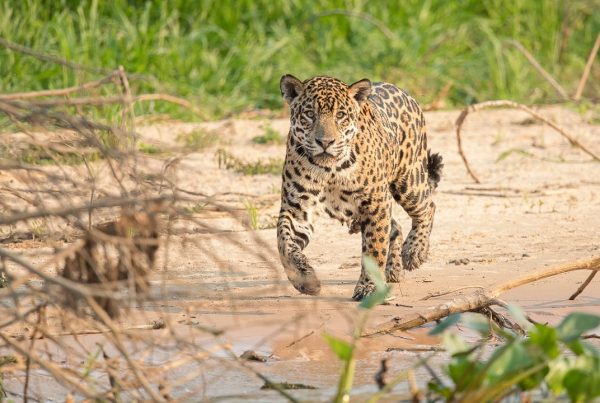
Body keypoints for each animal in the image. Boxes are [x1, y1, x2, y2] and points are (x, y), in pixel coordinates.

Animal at [277, 75, 443, 300]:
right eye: (310, 114)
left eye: (340, 115)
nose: (325, 142)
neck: (330, 170)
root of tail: (405, 93)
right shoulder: (297, 208)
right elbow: (284, 242)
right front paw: (305, 280)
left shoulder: (376, 203)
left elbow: (374, 248)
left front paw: (369, 288)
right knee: (396, 227)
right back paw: (393, 269)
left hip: (408, 180)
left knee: (427, 207)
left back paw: (414, 251)